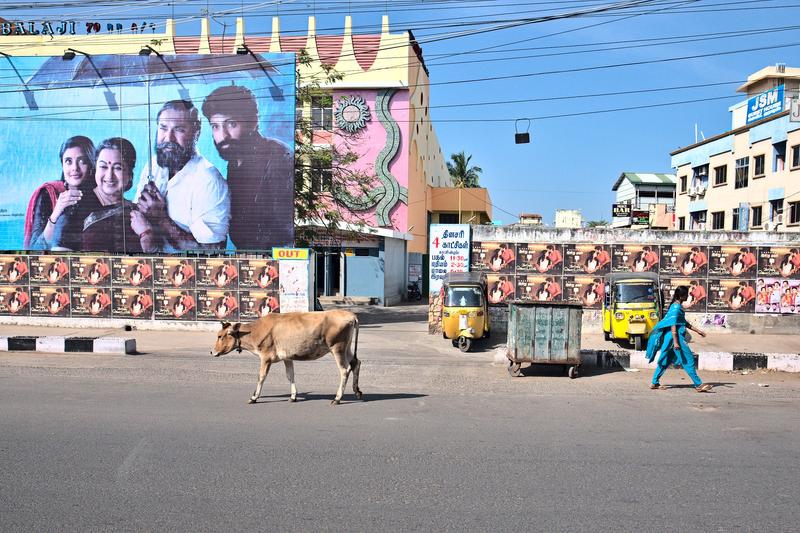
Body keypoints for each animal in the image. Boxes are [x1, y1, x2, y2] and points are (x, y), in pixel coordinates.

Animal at [212, 310, 362, 406]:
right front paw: (293, 396)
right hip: (346, 348)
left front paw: (254, 397)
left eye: (220, 336)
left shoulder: (265, 357)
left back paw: (337, 398)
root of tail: (351, 315)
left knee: (344, 370)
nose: (212, 351)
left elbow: (261, 377)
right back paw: (357, 391)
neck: (254, 331)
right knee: (356, 363)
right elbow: (290, 375)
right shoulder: (287, 357)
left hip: (337, 348)